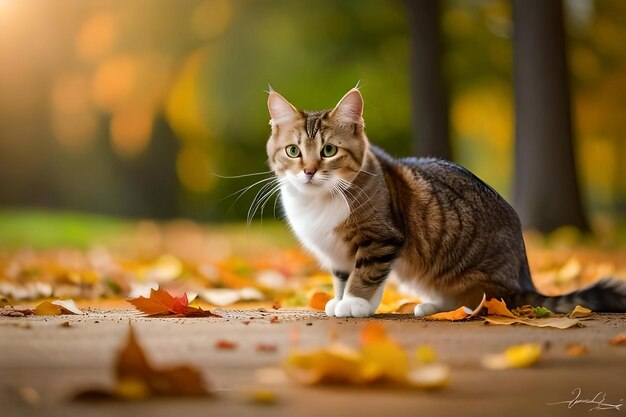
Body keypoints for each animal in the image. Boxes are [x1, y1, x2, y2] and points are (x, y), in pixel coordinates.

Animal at [266, 86, 624, 316]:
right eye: (293, 151)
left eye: (329, 150)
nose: (309, 171)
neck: (318, 200)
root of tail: (523, 279)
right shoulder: (339, 255)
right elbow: (344, 276)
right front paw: (341, 299)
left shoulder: (382, 239)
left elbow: (366, 273)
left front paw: (355, 303)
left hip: (474, 277)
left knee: (492, 301)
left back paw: (465, 307)